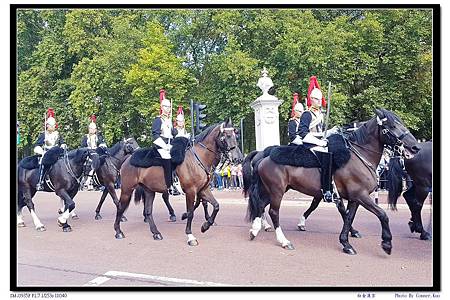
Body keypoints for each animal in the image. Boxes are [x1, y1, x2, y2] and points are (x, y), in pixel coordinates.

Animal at [114, 119, 244, 244]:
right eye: (227, 136)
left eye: (236, 135)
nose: (239, 159)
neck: (198, 158)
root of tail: (127, 159)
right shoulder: (191, 191)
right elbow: (191, 212)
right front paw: (190, 236)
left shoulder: (203, 189)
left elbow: (216, 205)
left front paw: (205, 226)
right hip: (127, 189)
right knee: (120, 207)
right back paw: (118, 231)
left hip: (149, 191)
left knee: (148, 211)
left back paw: (156, 233)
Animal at [246, 109, 418, 254]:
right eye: (392, 126)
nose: (415, 147)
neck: (358, 156)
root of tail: (264, 157)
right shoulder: (361, 195)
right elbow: (382, 214)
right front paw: (387, 244)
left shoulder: (354, 198)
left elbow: (348, 216)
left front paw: (346, 243)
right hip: (277, 190)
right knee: (273, 212)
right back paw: (283, 241)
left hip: (274, 189)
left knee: (260, 204)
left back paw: (255, 229)